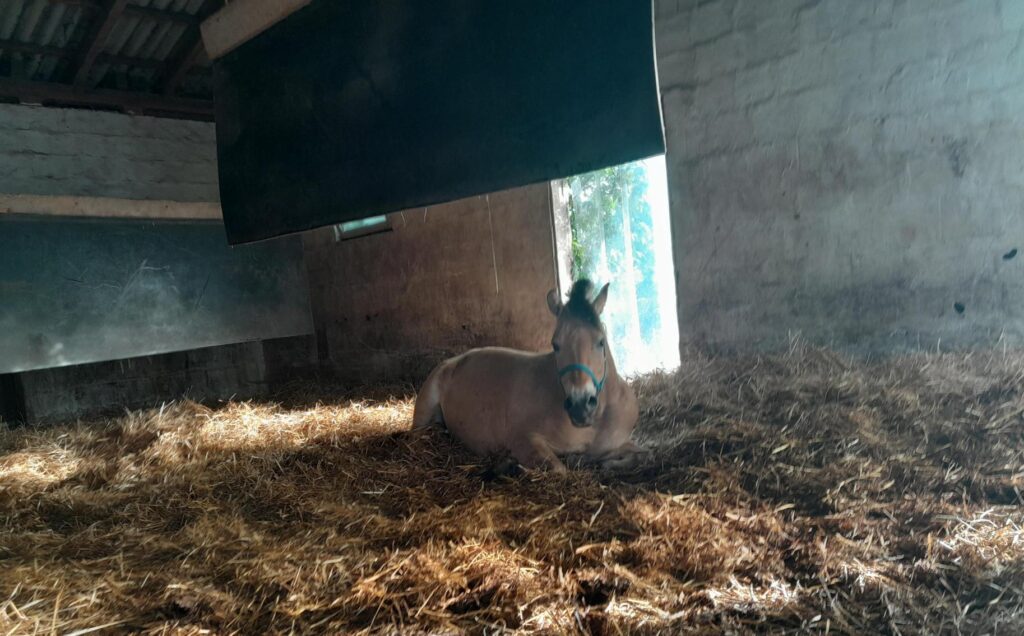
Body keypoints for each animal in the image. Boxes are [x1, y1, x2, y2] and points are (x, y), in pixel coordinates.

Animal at [412, 279, 645, 472]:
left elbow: (641, 453)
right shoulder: (525, 440)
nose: (580, 406)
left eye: (600, 341)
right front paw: (510, 465)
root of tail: (453, 361)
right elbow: (559, 469)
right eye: (555, 344)